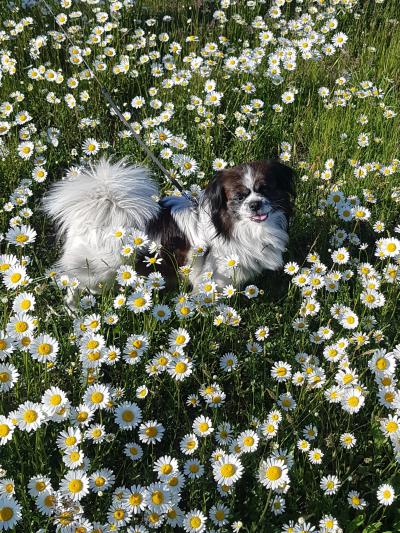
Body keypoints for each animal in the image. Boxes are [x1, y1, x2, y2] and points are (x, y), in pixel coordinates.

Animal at [43, 158, 294, 300]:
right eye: (239, 197)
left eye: (265, 189)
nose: (255, 204)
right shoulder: (212, 278)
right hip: (99, 268)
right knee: (72, 285)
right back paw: (74, 308)